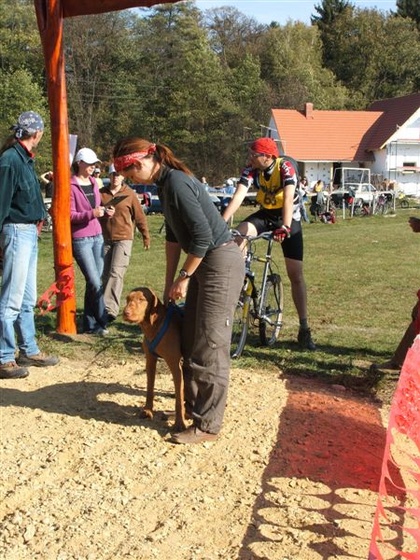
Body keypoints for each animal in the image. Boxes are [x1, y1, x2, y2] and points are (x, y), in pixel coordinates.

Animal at [122, 286, 186, 430]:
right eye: (128, 299)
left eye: (141, 299)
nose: (125, 313)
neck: (154, 326)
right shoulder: (150, 361)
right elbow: (150, 388)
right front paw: (147, 410)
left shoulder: (175, 364)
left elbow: (179, 399)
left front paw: (179, 423)